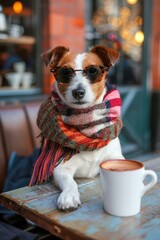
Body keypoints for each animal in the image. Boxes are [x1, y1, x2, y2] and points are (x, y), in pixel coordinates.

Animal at [39, 45, 124, 210]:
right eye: (65, 72)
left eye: (92, 71)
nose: (78, 92)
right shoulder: (60, 167)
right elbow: (70, 182)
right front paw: (69, 196)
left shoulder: (116, 157)